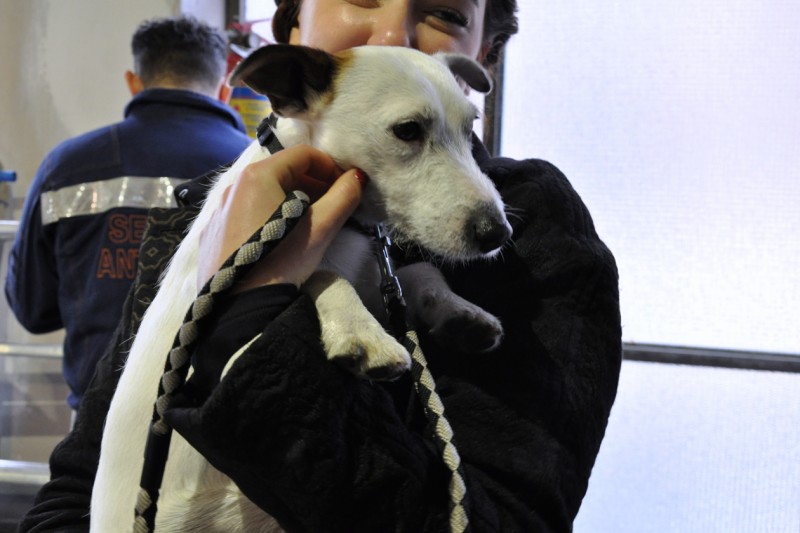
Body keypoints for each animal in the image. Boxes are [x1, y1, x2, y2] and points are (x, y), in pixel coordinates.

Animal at [90, 45, 510, 532]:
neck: (346, 223)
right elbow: (322, 274)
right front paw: (361, 331)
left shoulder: (377, 272)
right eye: (408, 130)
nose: (497, 233)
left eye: (470, 130)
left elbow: (421, 273)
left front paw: (459, 311)